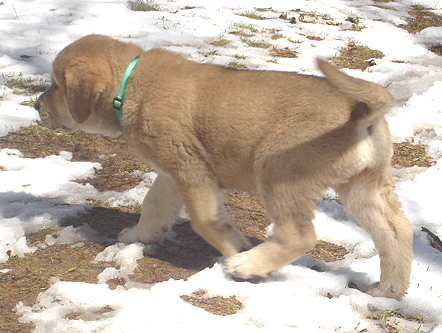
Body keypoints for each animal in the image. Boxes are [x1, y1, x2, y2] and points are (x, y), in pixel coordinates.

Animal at [35, 33, 414, 298]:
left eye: (56, 84)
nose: (36, 106)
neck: (130, 85)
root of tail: (361, 112)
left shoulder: (191, 171)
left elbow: (206, 221)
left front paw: (236, 250)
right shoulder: (173, 171)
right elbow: (154, 205)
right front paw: (140, 236)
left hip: (278, 172)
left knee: (300, 234)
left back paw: (248, 264)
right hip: (363, 186)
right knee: (396, 231)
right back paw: (389, 290)